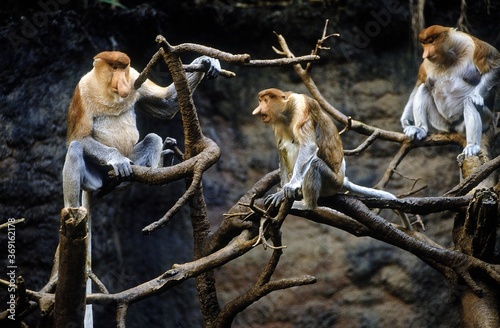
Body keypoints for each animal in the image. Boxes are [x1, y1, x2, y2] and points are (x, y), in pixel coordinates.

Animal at [62, 50, 219, 208]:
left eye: (123, 68)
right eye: (114, 67)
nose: (122, 84)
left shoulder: (134, 77)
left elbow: (167, 104)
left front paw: (206, 61)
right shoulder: (83, 90)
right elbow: (78, 137)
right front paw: (118, 159)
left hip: (132, 162)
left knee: (152, 138)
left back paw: (162, 163)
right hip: (96, 178)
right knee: (75, 147)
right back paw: (72, 210)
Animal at [252, 88, 412, 229]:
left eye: (265, 100)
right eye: (260, 100)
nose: (257, 110)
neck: (287, 112)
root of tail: (342, 179)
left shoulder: (301, 107)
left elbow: (309, 146)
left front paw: (290, 187)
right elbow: (281, 150)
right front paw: (280, 194)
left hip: (331, 182)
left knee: (314, 163)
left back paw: (306, 206)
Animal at [402, 25, 500, 157]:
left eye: (431, 42)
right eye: (424, 43)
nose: (425, 53)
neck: (448, 58)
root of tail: (453, 128)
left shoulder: (472, 44)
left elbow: (496, 65)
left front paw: (476, 96)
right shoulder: (425, 65)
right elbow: (418, 85)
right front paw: (406, 122)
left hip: (485, 119)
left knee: (469, 102)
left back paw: (472, 145)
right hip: (440, 122)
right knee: (424, 87)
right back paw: (420, 129)